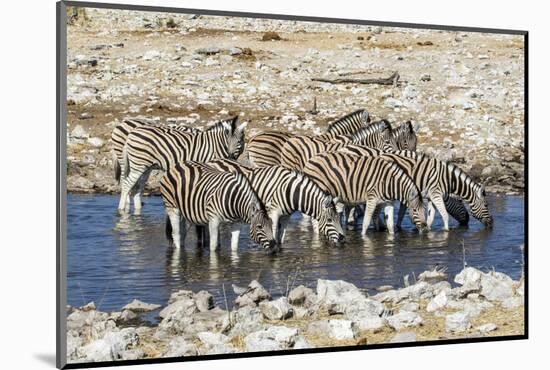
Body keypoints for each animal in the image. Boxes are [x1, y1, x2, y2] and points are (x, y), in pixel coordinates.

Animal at [119, 115, 247, 214]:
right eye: (228, 141)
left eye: (239, 141)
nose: (231, 156)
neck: (216, 145)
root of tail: (132, 132)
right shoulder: (211, 166)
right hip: (138, 164)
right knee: (126, 184)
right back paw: (121, 210)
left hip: (146, 167)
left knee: (137, 188)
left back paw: (138, 210)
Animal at [206, 158, 344, 246]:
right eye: (330, 220)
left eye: (339, 218)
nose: (343, 238)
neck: (289, 190)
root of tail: (211, 161)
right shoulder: (273, 213)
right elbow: (273, 233)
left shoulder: (286, 216)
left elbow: (280, 238)